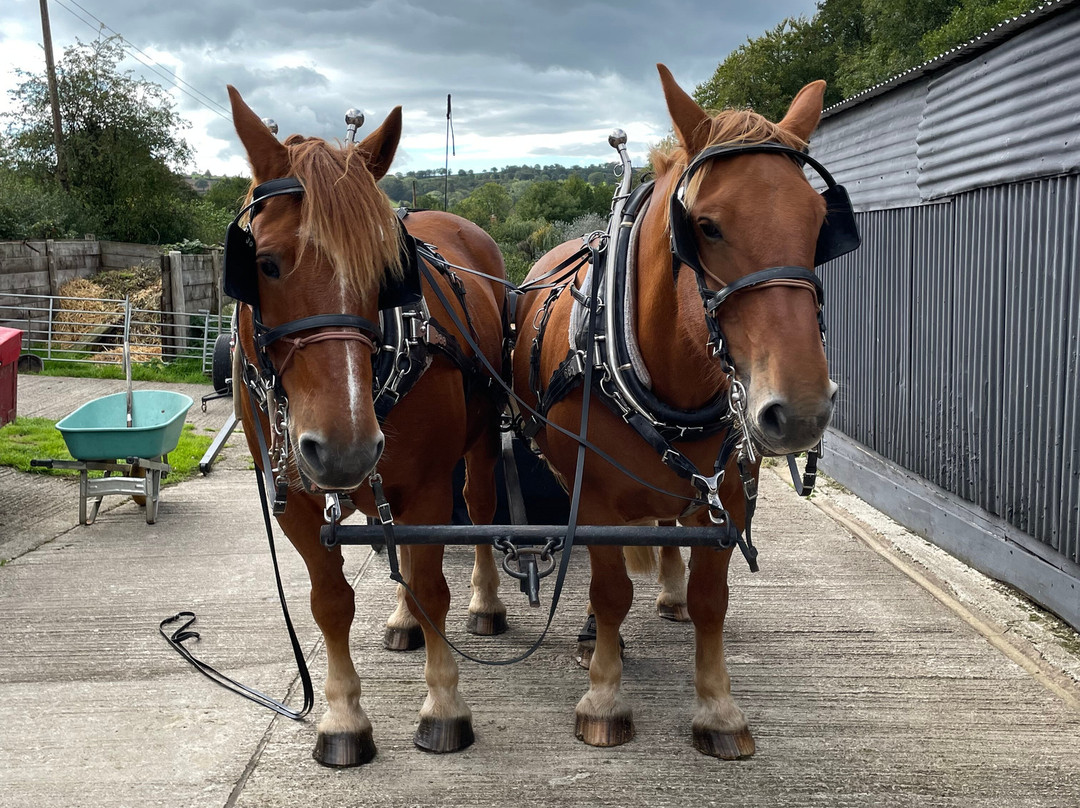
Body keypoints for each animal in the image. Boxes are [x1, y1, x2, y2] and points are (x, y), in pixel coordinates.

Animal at [226, 86, 509, 766]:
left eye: (387, 272)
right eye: (264, 264)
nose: (346, 448)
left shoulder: (429, 487)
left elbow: (434, 585)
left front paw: (444, 707)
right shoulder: (296, 503)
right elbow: (330, 603)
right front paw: (343, 718)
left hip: (482, 440)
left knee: (480, 507)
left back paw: (485, 602)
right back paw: (403, 622)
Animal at [512, 64, 853, 758]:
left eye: (818, 224)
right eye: (706, 225)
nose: (801, 410)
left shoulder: (729, 489)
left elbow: (710, 599)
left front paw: (718, 708)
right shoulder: (594, 501)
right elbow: (609, 589)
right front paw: (604, 695)